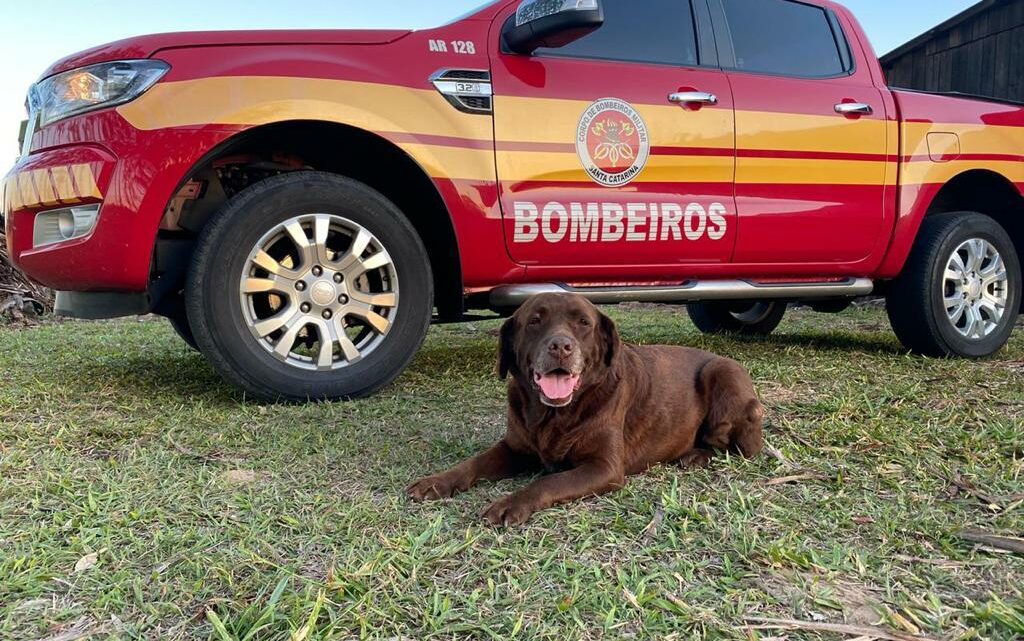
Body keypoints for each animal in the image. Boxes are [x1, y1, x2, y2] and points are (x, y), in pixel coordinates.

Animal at [407, 292, 761, 522]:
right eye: (535, 321)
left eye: (583, 323)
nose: (561, 346)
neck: (553, 414)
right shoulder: (515, 447)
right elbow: (473, 463)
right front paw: (437, 482)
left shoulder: (604, 467)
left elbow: (549, 481)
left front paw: (511, 503)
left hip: (724, 375)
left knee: (737, 445)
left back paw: (698, 455)